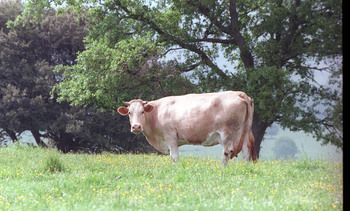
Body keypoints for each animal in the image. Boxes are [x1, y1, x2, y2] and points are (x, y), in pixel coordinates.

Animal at [117, 91, 258, 166]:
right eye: (129, 112)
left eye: (142, 112)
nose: (136, 126)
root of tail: (239, 93)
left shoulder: (170, 136)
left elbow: (174, 156)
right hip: (244, 132)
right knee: (246, 151)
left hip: (228, 133)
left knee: (227, 152)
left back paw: (221, 167)